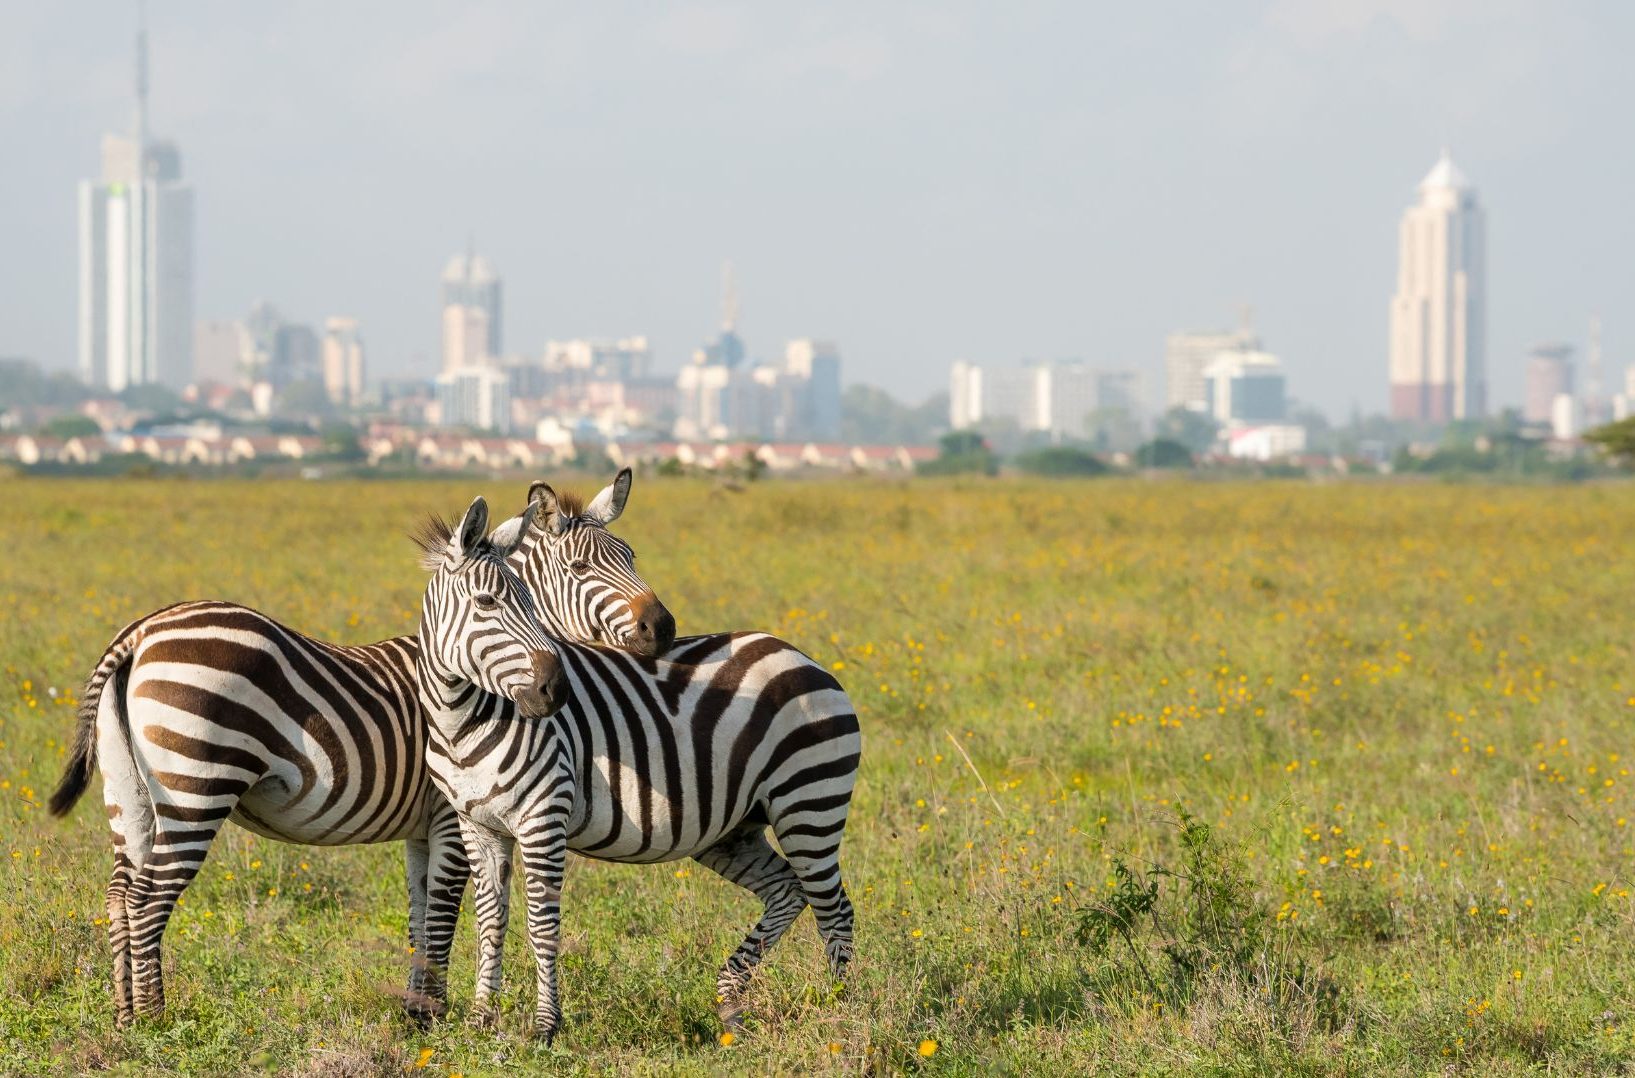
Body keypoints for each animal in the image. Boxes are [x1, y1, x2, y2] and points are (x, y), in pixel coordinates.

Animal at [47, 496, 571, 1027]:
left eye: (530, 603)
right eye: (488, 603)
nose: (556, 689)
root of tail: (140, 632)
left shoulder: (422, 828)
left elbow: (419, 917)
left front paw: (415, 1012)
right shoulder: (450, 815)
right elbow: (442, 913)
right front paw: (435, 1014)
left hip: (127, 791)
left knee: (119, 895)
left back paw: (124, 1017)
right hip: (194, 788)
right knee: (147, 899)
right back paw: (156, 1019)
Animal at [418, 518, 862, 1042]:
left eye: (530, 600)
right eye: (487, 602)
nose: (556, 691)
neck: (461, 722)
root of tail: (802, 656)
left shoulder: (542, 818)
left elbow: (542, 924)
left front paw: (546, 1026)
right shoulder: (478, 826)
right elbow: (489, 922)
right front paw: (480, 1019)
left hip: (809, 802)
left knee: (834, 910)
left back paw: (840, 1013)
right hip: (733, 830)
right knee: (788, 891)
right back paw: (731, 1002)